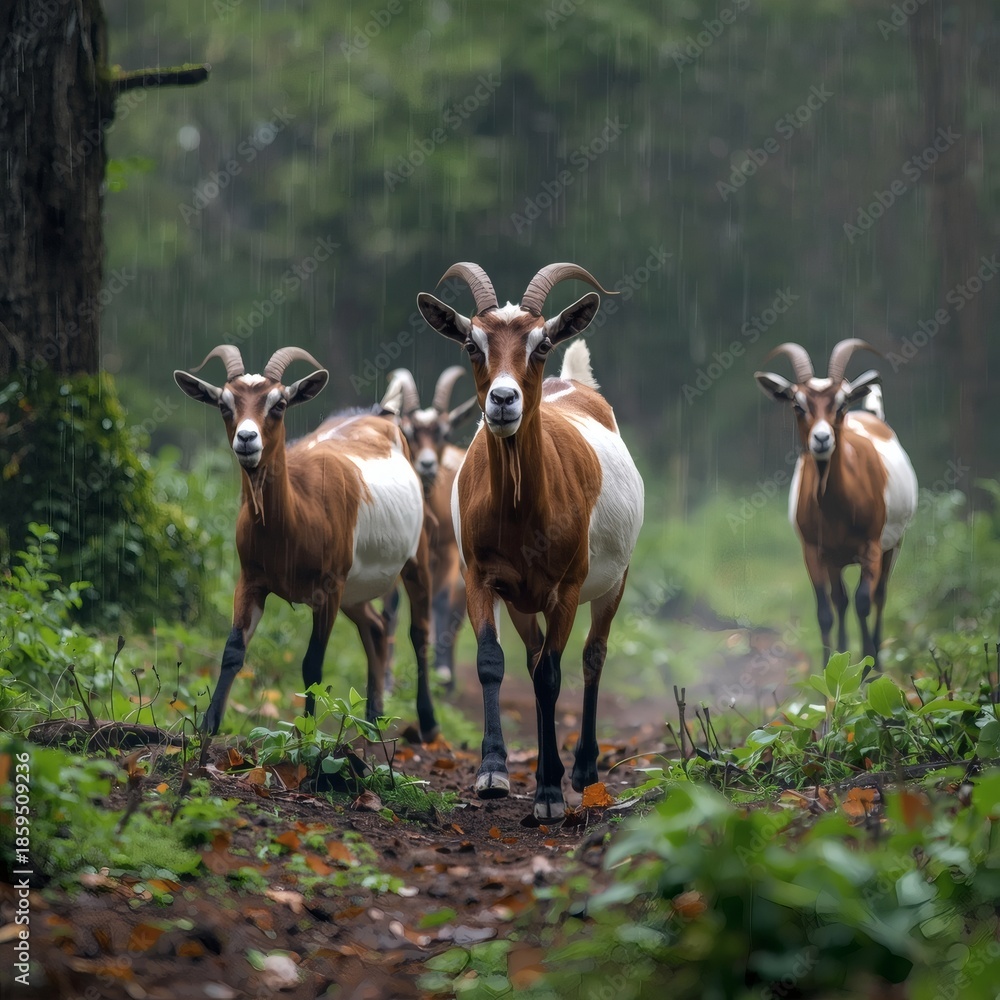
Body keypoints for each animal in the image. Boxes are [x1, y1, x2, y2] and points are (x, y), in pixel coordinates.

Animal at [173, 345, 438, 740]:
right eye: (224, 404)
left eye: (279, 404)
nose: (247, 439)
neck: (299, 513)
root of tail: (384, 415)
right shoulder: (251, 579)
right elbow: (233, 651)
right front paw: (207, 728)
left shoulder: (328, 587)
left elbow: (312, 665)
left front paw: (308, 733)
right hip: (355, 588)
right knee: (375, 627)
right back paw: (373, 719)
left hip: (414, 556)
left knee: (418, 632)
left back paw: (429, 723)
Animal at [380, 367, 478, 688]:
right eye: (409, 432)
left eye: (444, 433)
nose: (427, 465)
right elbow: (392, 607)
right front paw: (387, 680)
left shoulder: (448, 552)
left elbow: (441, 602)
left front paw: (442, 672)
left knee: (457, 611)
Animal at [418, 263, 645, 821]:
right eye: (472, 344)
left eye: (540, 344)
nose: (503, 400)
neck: (523, 516)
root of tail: (576, 382)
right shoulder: (481, 577)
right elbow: (492, 663)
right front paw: (494, 773)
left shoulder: (565, 587)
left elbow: (550, 678)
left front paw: (547, 795)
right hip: (522, 599)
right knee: (534, 655)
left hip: (613, 581)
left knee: (590, 656)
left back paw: (582, 771)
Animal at [755, 339, 918, 667]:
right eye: (798, 404)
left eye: (840, 404)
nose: (821, 439)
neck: (836, 510)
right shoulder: (814, 551)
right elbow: (825, 611)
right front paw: (830, 666)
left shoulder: (871, 548)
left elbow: (863, 602)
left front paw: (869, 666)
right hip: (836, 559)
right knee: (840, 601)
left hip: (893, 544)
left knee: (879, 595)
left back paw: (877, 656)